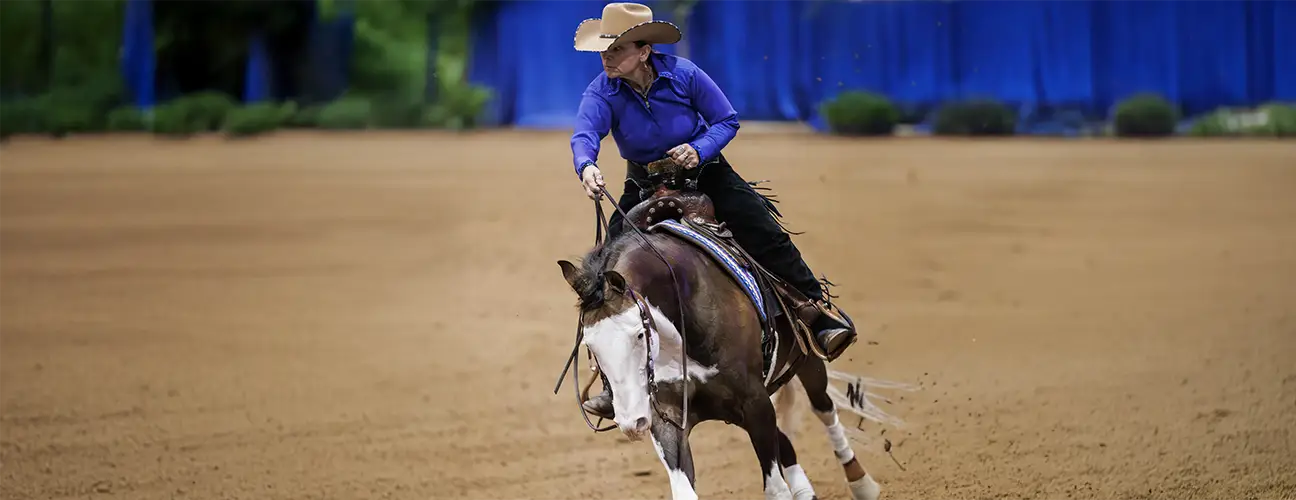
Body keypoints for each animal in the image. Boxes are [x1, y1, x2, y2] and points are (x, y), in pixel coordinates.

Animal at [553, 159, 891, 500]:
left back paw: (862, 483)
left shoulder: (755, 402)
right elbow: (684, 489)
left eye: (639, 333)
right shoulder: (669, 418)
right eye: (590, 346)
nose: (631, 422)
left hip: (807, 359)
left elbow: (775, 487)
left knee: (824, 408)